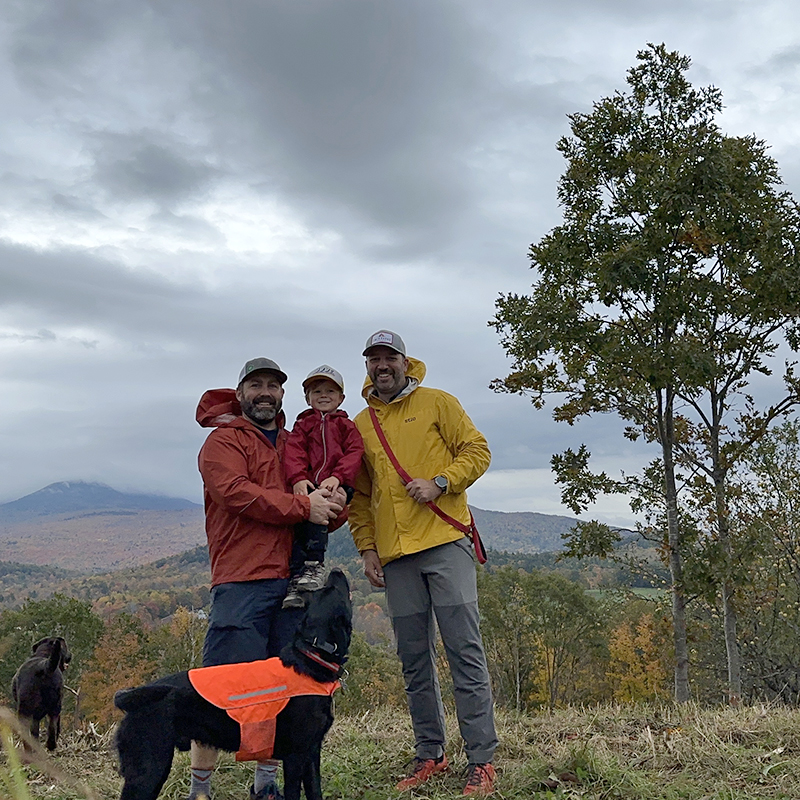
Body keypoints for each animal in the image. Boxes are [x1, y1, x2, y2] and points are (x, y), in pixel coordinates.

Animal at [114, 568, 352, 800]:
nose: (336, 570)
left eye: (326, 590)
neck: (311, 655)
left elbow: (315, 790)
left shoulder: (312, 752)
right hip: (149, 769)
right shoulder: (295, 756)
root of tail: (131, 696)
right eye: (333, 589)